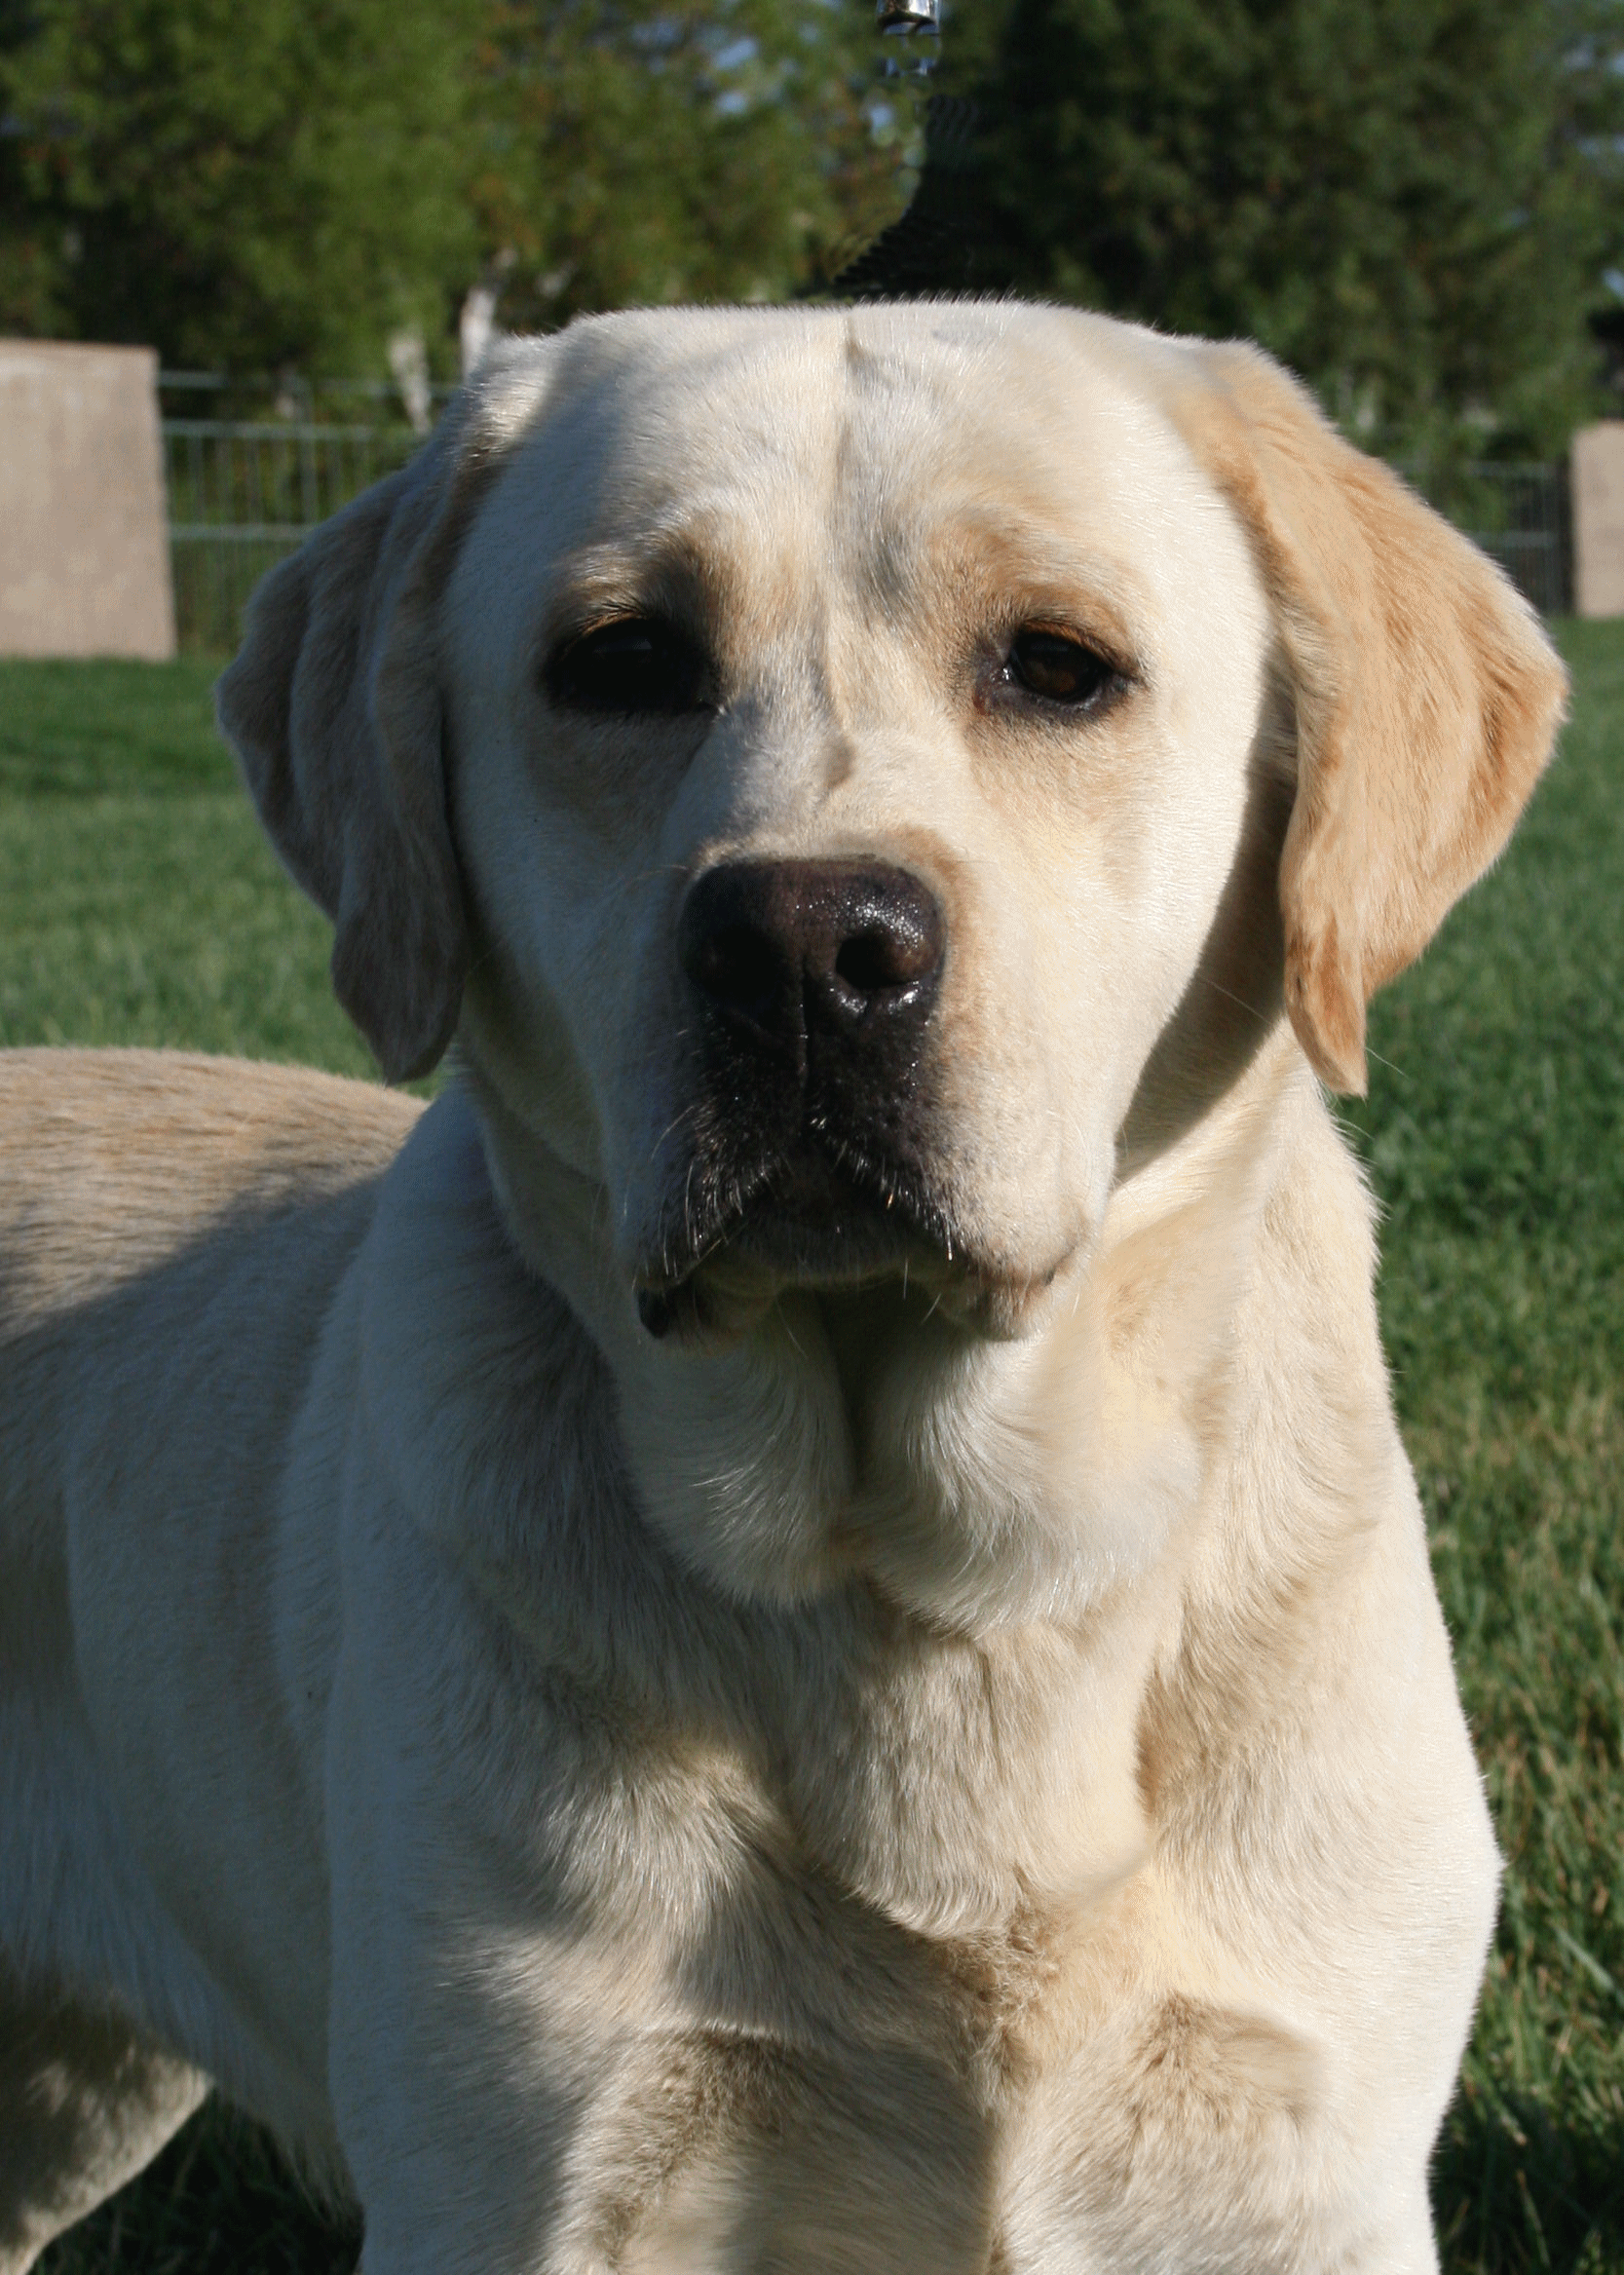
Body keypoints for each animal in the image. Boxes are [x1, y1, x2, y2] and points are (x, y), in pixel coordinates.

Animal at [3, 307, 1565, 2275]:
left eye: (1057, 667)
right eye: (620, 662)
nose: (805, 950)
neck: (928, 1599)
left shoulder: (1308, 2169)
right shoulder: (517, 2173)